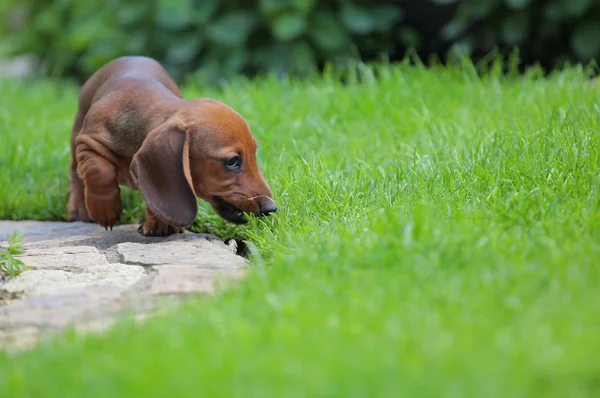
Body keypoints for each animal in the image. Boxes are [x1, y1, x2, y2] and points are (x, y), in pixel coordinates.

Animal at [67, 56, 278, 236]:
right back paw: (79, 208)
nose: (271, 209)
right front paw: (105, 210)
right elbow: (99, 172)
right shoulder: (87, 142)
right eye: (232, 161)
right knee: (76, 175)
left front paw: (159, 224)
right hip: (76, 132)